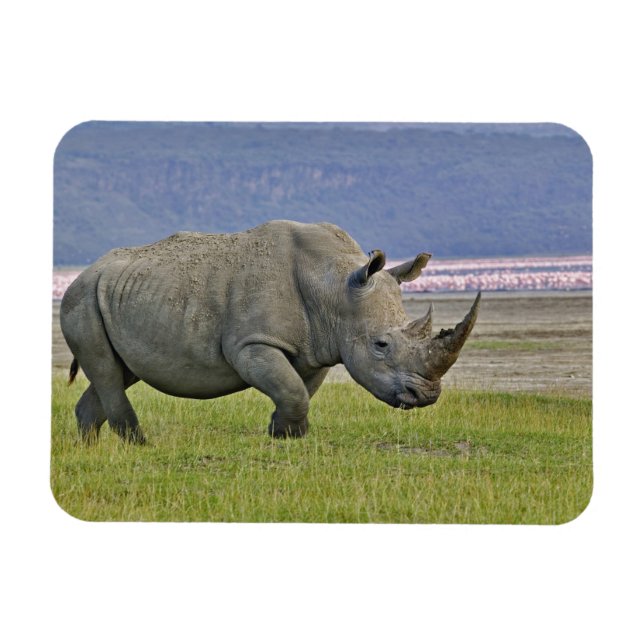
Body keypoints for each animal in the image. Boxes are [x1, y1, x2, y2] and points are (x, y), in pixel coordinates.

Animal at [60, 220, 480, 444]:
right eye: (381, 344)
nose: (427, 396)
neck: (334, 287)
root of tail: (84, 273)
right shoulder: (252, 343)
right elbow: (292, 390)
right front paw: (288, 435)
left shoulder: (317, 348)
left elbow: (298, 390)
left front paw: (284, 436)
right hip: (80, 298)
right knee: (107, 371)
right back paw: (141, 446)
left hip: (118, 296)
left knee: (119, 372)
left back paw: (90, 448)